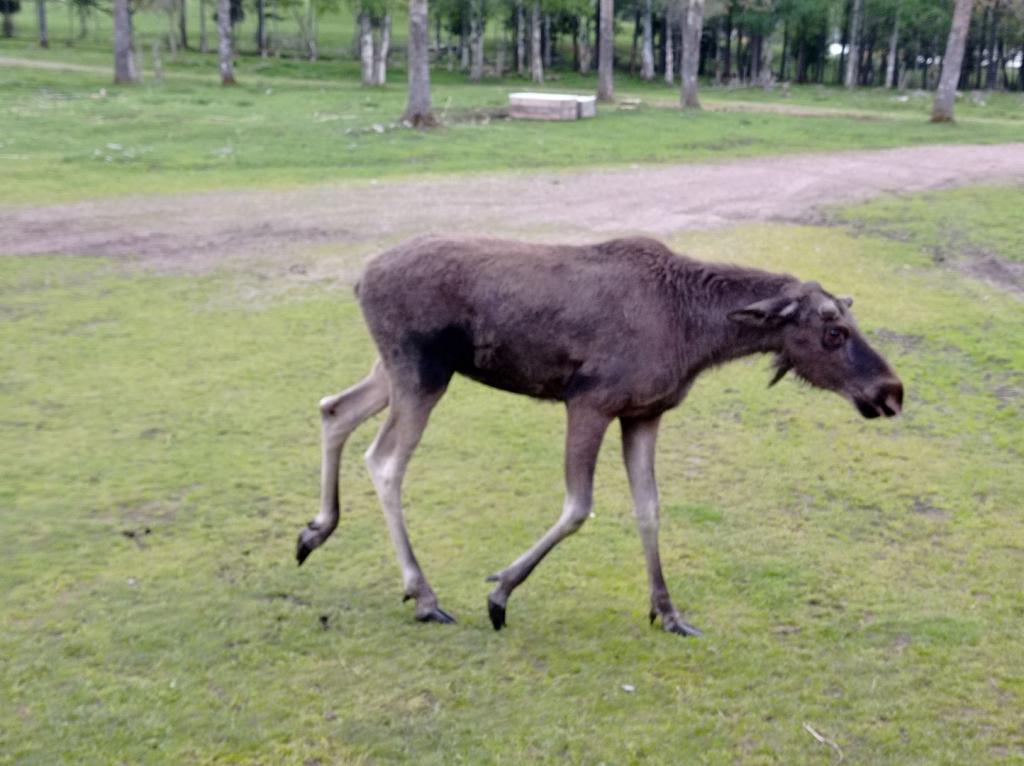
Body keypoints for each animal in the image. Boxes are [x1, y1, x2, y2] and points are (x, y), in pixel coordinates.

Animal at [292, 236, 901, 639]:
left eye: (848, 323)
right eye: (833, 331)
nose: (892, 391)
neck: (697, 335)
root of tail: (359, 280)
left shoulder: (644, 414)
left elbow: (649, 508)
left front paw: (668, 611)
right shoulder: (589, 401)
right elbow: (578, 506)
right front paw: (500, 591)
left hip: (396, 372)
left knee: (333, 409)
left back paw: (315, 530)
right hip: (421, 374)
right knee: (384, 461)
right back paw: (422, 594)